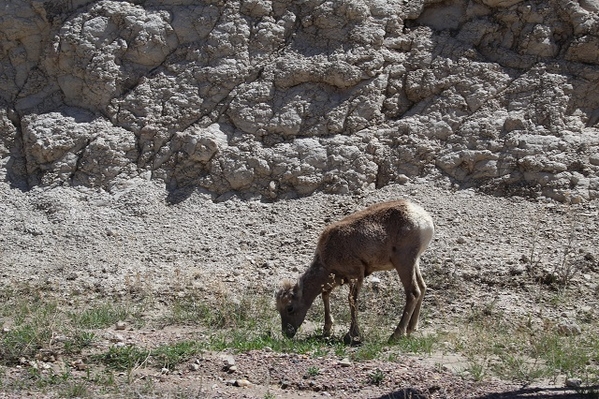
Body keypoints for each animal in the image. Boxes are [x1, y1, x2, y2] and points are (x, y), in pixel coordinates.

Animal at [276, 202, 436, 346]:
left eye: (290, 308)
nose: (286, 333)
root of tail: (425, 220)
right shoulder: (339, 278)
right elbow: (325, 294)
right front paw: (327, 330)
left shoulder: (355, 275)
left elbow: (352, 300)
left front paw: (351, 335)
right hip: (414, 263)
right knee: (422, 288)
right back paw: (410, 330)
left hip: (404, 262)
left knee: (413, 292)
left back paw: (395, 335)